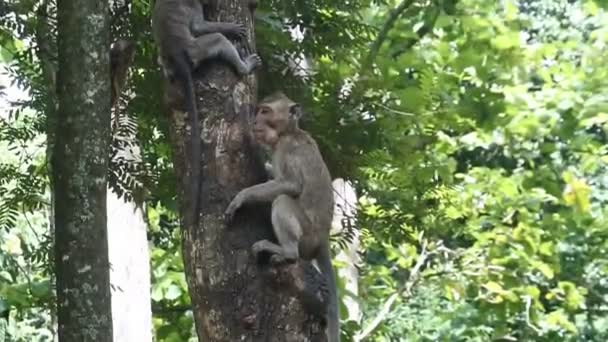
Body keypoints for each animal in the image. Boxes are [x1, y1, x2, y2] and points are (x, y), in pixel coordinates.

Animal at [152, 0, 262, 230]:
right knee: (217, 39)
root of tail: (177, 56)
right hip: (197, 49)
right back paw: (244, 66)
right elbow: (198, 27)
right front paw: (231, 28)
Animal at [224, 92, 340, 342]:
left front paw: (242, 196)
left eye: (265, 112)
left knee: (282, 201)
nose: (255, 121)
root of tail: (323, 239)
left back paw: (286, 252)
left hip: (307, 235)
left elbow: (291, 185)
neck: (289, 132)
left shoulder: (288, 150)